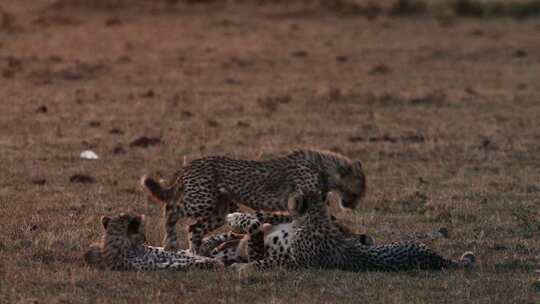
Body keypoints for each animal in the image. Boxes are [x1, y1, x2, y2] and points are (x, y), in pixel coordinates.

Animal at [81, 213, 224, 272]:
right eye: (142, 233)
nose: (145, 239)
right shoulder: (158, 265)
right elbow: (186, 263)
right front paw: (214, 263)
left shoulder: (166, 254)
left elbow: (187, 257)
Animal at [139, 150, 368, 254]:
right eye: (360, 189)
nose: (354, 205)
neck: (325, 169)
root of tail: (189, 165)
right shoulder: (301, 205)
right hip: (201, 199)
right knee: (171, 208)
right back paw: (171, 241)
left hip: (221, 209)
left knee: (194, 228)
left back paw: (199, 254)